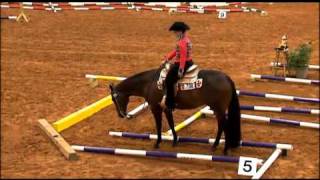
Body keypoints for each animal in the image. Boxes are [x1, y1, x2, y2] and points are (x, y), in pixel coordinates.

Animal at [109, 63, 241, 155]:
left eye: (114, 99)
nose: (121, 115)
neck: (149, 83)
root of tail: (227, 78)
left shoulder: (155, 108)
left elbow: (159, 125)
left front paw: (157, 143)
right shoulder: (166, 109)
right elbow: (171, 124)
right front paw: (175, 140)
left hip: (219, 109)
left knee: (224, 126)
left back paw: (224, 149)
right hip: (217, 110)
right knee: (221, 126)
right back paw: (215, 146)